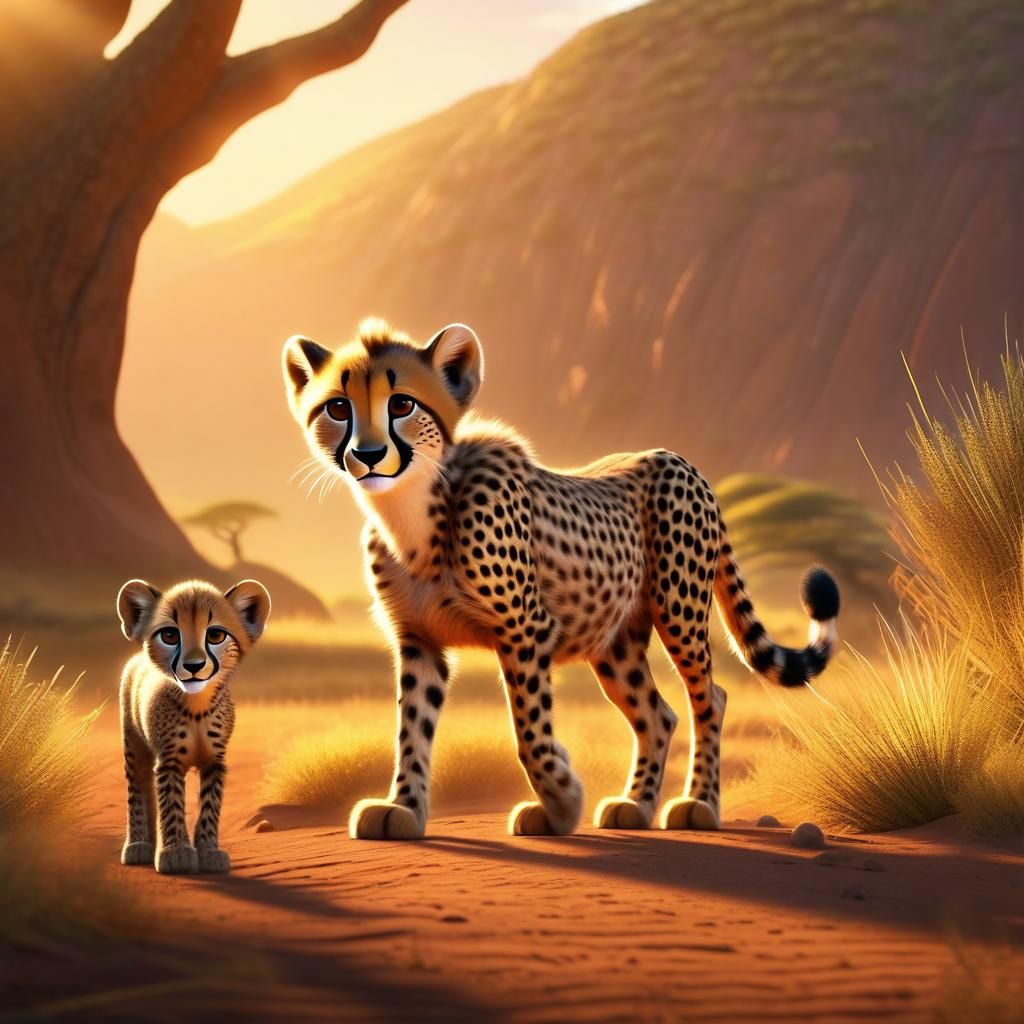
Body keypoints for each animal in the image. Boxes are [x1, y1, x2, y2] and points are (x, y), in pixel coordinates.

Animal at [116, 578, 271, 873]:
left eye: (215, 635)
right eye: (169, 636)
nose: (194, 666)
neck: (196, 706)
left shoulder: (214, 761)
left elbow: (210, 807)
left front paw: (208, 852)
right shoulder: (169, 761)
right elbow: (172, 804)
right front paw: (175, 852)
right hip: (134, 747)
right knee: (138, 789)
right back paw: (139, 846)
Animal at [282, 319, 839, 839]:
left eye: (401, 404)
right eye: (338, 408)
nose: (369, 455)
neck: (413, 517)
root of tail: (680, 461)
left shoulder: (525, 628)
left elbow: (529, 729)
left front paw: (562, 802)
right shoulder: (418, 640)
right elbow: (411, 728)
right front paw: (403, 809)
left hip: (677, 611)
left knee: (710, 698)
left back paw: (699, 803)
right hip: (614, 643)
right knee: (657, 714)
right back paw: (635, 805)